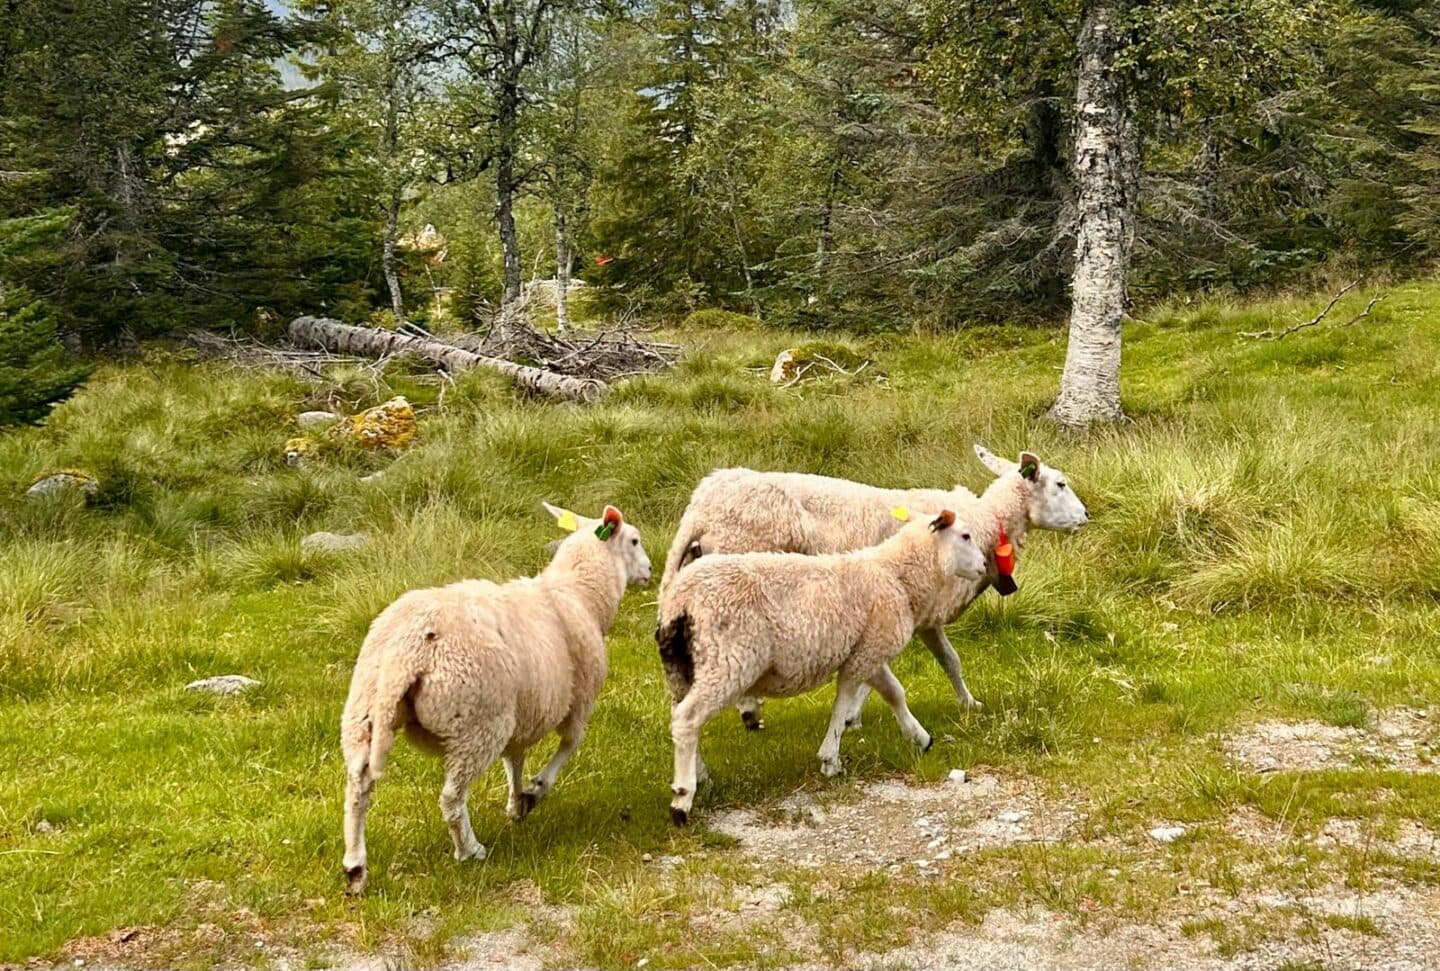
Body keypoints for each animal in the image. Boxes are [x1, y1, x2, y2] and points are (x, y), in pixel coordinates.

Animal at [339, 503, 652, 894]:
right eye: (635, 540)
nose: (650, 571)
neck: (578, 593)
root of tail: (406, 652)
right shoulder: (579, 700)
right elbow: (569, 744)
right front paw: (535, 792)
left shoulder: (523, 712)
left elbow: (514, 760)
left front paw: (516, 804)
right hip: (476, 723)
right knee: (451, 797)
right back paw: (469, 850)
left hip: (363, 713)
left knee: (358, 788)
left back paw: (355, 866)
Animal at [656, 509, 987, 824]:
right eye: (965, 535)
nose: (984, 564)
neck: (896, 575)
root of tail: (680, 600)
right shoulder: (866, 653)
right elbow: (843, 703)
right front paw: (831, 760)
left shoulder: (867, 649)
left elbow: (894, 693)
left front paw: (920, 737)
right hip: (727, 660)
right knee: (687, 718)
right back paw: (682, 799)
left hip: (682, 669)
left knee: (680, 717)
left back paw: (701, 776)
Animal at [658, 445, 1088, 726]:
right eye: (1060, 484)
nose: (1086, 516)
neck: (988, 520)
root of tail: (702, 504)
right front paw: (855, 717)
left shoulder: (924, 616)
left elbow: (950, 661)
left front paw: (969, 704)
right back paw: (750, 709)